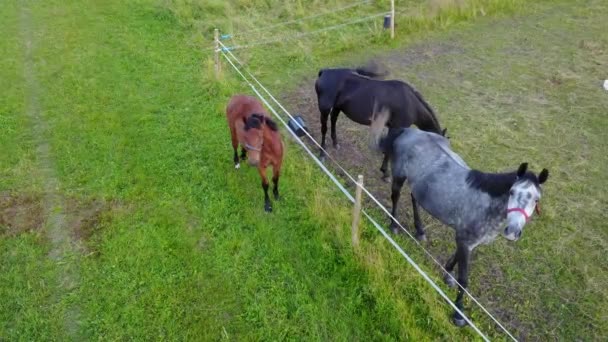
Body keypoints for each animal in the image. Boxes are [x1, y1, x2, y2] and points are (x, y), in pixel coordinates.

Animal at [316, 66, 444, 179]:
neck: (411, 103)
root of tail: (324, 72)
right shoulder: (397, 128)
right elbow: (389, 148)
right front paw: (385, 173)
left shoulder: (392, 128)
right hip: (324, 109)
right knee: (324, 128)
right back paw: (322, 153)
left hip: (337, 107)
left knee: (333, 121)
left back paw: (335, 143)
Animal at [370, 111, 552, 328]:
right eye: (512, 192)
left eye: (536, 199)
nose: (512, 232)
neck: (486, 204)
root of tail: (408, 131)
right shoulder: (465, 240)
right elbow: (464, 279)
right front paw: (458, 313)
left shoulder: (469, 241)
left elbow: (455, 260)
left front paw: (447, 276)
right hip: (398, 176)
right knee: (395, 197)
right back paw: (393, 226)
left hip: (418, 185)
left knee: (414, 198)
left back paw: (420, 230)